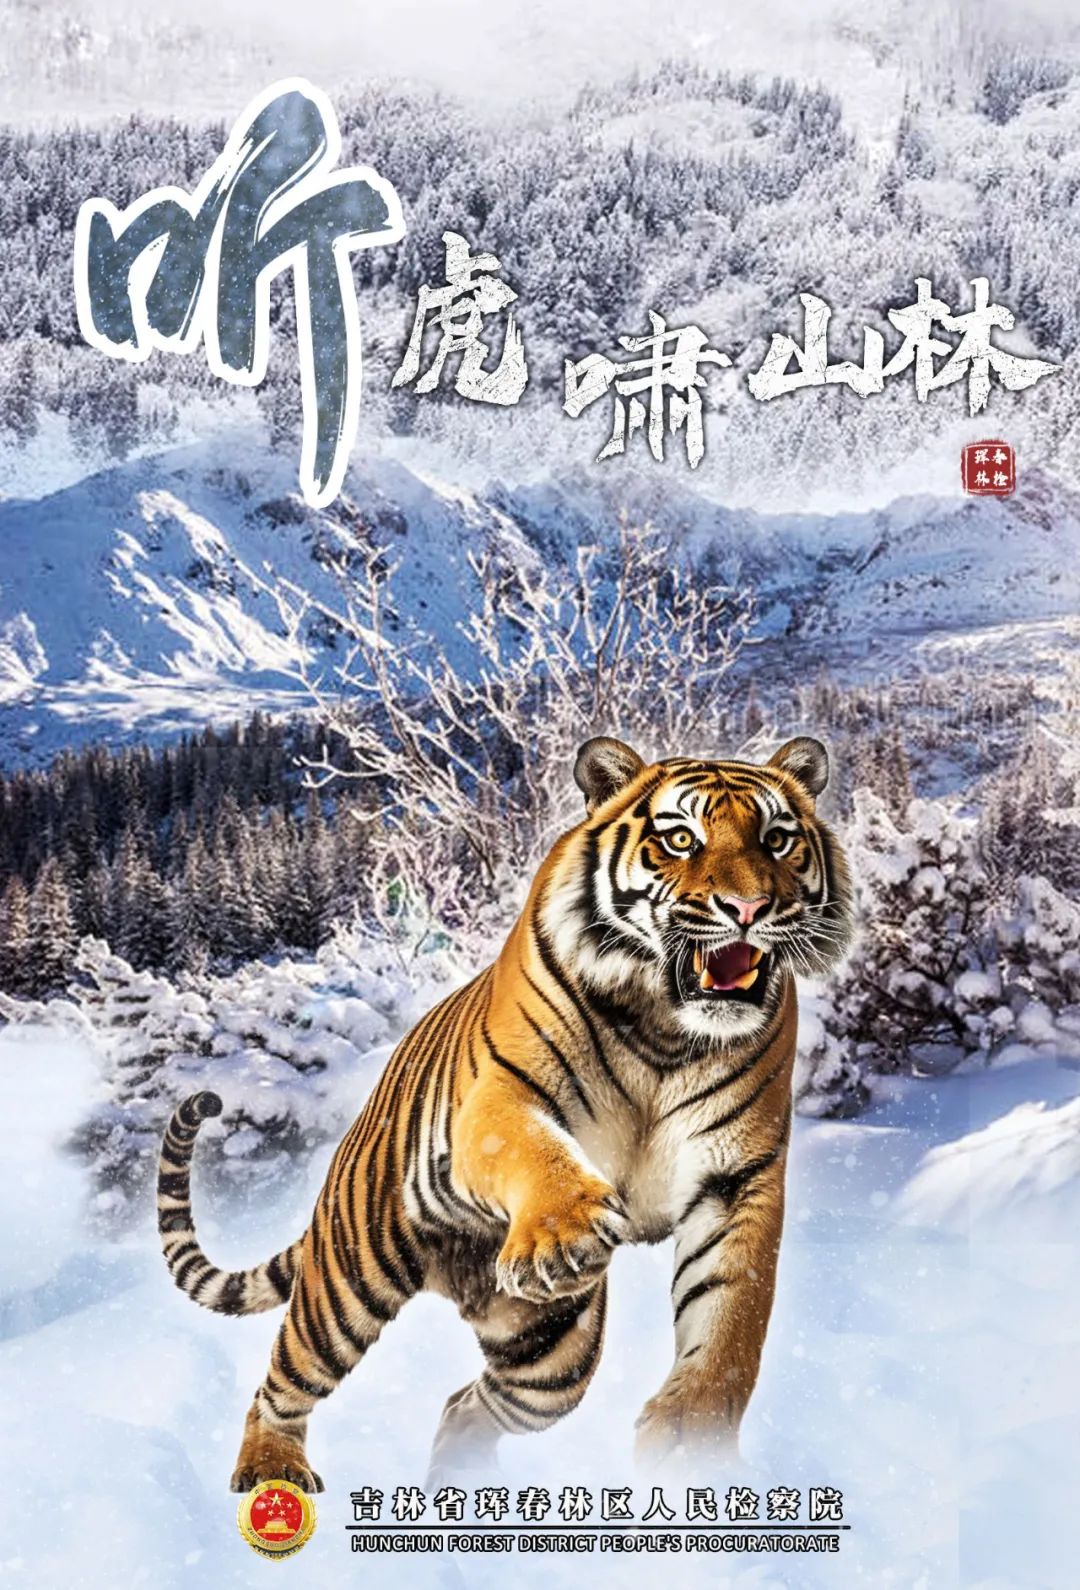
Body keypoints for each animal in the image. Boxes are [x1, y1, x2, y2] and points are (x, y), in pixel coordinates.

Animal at [157, 734, 854, 1492]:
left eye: (778, 839)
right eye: (679, 839)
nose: (748, 908)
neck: (665, 1025)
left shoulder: (738, 1176)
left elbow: (732, 1312)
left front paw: (689, 1439)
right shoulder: (503, 1097)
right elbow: (529, 1147)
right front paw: (560, 1236)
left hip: (548, 1360)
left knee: (467, 1403)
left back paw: (455, 1485)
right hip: (344, 1288)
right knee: (282, 1383)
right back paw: (270, 1469)